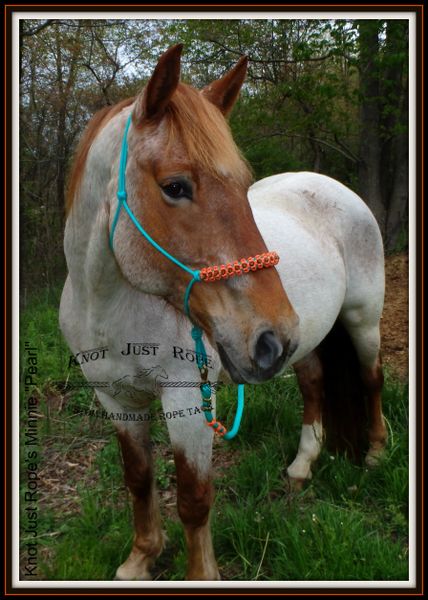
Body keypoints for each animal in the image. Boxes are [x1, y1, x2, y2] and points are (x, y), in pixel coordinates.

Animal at [58, 44, 386, 580]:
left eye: (243, 186)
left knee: (370, 378)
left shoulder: (187, 401)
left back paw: (376, 452)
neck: (107, 308)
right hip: (305, 339)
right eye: (174, 186)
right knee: (315, 384)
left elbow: (193, 500)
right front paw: (141, 558)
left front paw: (199, 573)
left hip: (361, 320)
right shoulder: (116, 400)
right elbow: (138, 478)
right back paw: (302, 465)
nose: (270, 335)